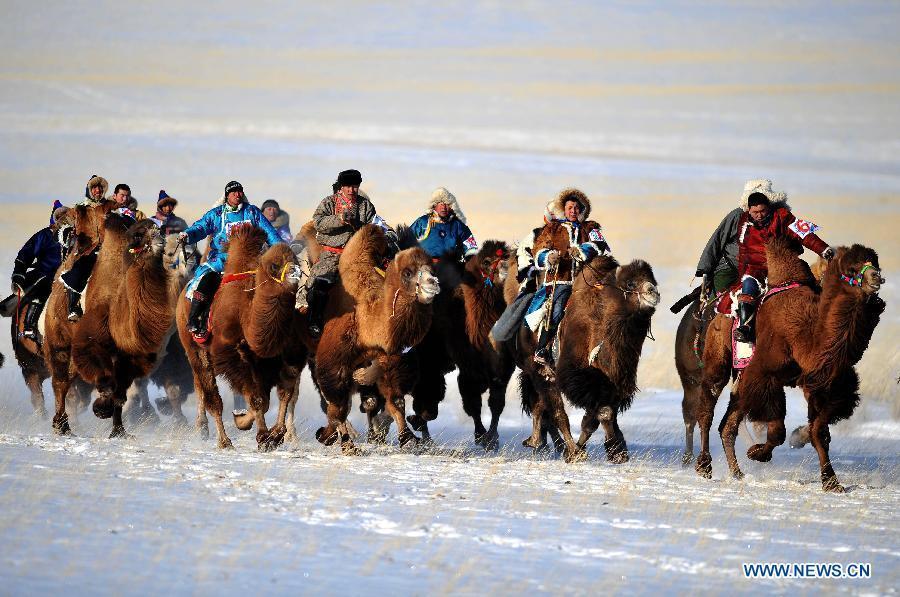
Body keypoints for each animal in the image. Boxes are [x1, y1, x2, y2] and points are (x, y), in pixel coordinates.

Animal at [177, 226, 305, 450]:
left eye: (296, 260)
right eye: (274, 266)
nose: (295, 272)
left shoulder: (277, 360)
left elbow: (280, 396)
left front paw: (274, 434)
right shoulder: (235, 357)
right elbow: (257, 399)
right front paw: (262, 436)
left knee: (201, 387)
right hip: (195, 349)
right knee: (210, 393)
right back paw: (222, 440)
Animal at [314, 224, 440, 453]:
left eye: (432, 270)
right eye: (408, 272)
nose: (432, 284)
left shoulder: (392, 361)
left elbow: (396, 401)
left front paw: (407, 438)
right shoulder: (333, 363)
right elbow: (339, 406)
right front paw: (348, 445)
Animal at [513, 255, 660, 463]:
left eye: (653, 280)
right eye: (630, 283)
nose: (653, 292)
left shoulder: (614, 382)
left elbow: (595, 419)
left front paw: (616, 451)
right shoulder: (580, 378)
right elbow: (603, 413)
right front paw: (593, 450)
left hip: (543, 376)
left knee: (540, 405)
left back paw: (535, 442)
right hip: (539, 371)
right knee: (557, 412)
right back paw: (567, 450)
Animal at [718, 239, 884, 491]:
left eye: (874, 262)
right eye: (851, 269)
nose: (877, 276)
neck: (806, 337)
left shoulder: (824, 384)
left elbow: (819, 432)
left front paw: (831, 482)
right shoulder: (766, 375)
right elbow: (777, 431)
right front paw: (757, 453)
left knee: (728, 425)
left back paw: (736, 473)